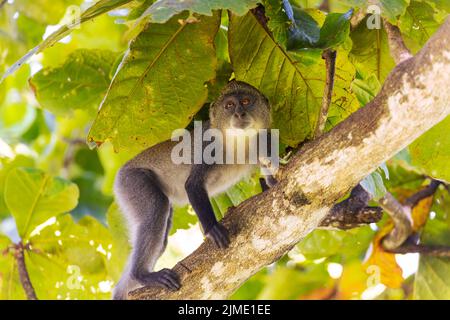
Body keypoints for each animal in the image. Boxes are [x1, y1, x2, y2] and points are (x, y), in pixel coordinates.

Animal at [111, 80, 278, 300]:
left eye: (245, 101)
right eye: (229, 106)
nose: (239, 113)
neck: (237, 140)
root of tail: (122, 172)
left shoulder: (264, 138)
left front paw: (273, 182)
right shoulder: (209, 145)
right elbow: (192, 184)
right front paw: (212, 229)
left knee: (161, 239)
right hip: (132, 181)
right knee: (156, 210)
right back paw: (142, 275)